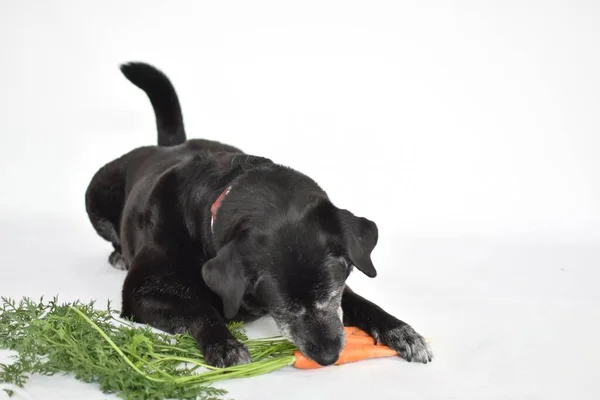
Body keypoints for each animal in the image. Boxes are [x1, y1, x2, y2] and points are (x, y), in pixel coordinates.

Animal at [85, 61, 432, 366]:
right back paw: (118, 254)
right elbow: (200, 310)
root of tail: (170, 146)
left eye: (330, 294)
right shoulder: (140, 293)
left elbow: (362, 302)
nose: (328, 357)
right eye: (283, 306)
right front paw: (224, 345)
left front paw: (401, 331)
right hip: (94, 193)